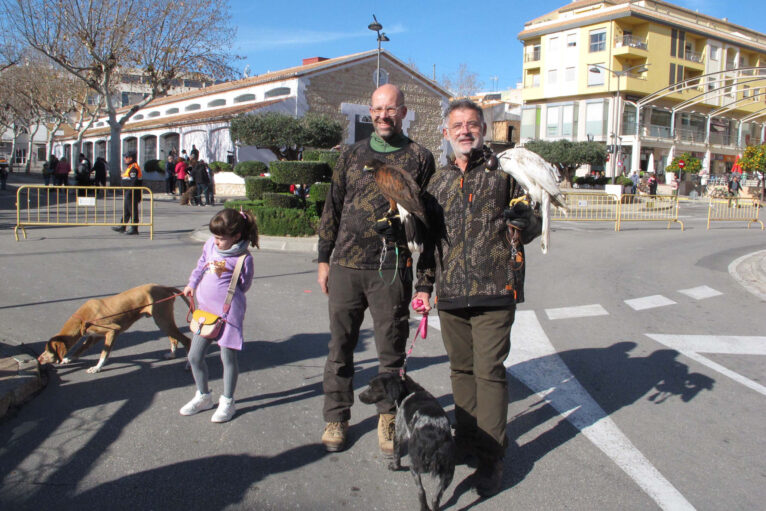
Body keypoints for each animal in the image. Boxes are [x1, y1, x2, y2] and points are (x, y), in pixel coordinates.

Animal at [38, 284, 192, 372]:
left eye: (48, 349)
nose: (39, 359)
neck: (82, 319)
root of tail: (164, 287)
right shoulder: (94, 337)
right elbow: (80, 349)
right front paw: (68, 359)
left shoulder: (113, 331)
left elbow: (104, 353)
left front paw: (97, 368)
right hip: (162, 321)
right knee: (174, 339)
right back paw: (171, 354)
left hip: (162, 320)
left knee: (187, 340)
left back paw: (189, 365)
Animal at [360, 372, 456, 511]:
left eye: (372, 387)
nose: (359, 396)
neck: (409, 390)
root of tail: (434, 439)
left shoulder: (398, 434)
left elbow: (396, 456)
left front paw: (394, 467)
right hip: (448, 472)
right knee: (435, 498)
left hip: (414, 463)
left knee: (421, 491)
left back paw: (423, 507)